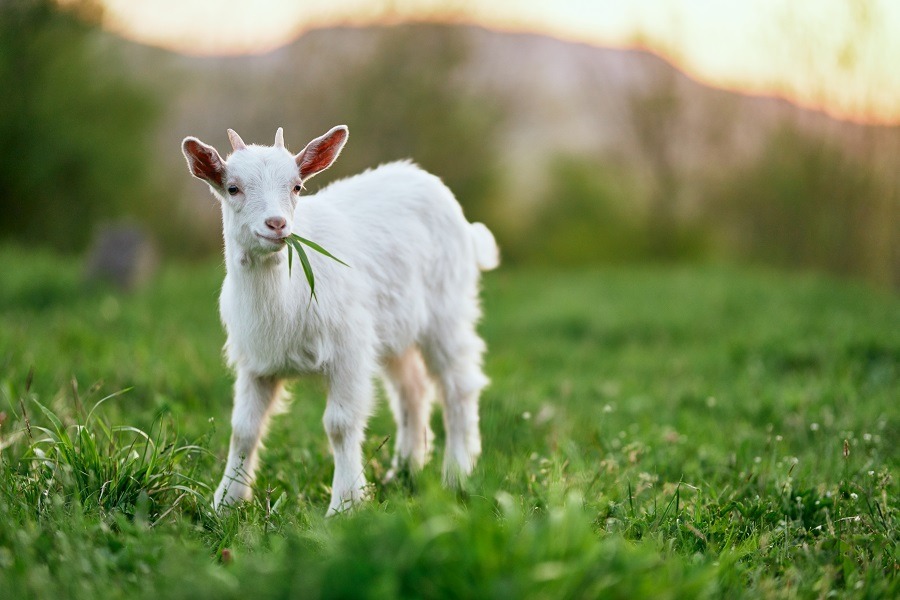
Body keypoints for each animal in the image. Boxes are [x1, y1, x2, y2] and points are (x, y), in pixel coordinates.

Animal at [181, 126, 500, 516]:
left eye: (297, 186)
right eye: (232, 188)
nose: (277, 224)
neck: (284, 294)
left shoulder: (349, 349)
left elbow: (340, 424)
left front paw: (345, 505)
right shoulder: (256, 362)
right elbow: (244, 429)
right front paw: (225, 502)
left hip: (447, 310)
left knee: (458, 386)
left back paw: (456, 474)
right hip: (394, 329)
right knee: (412, 389)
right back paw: (405, 470)